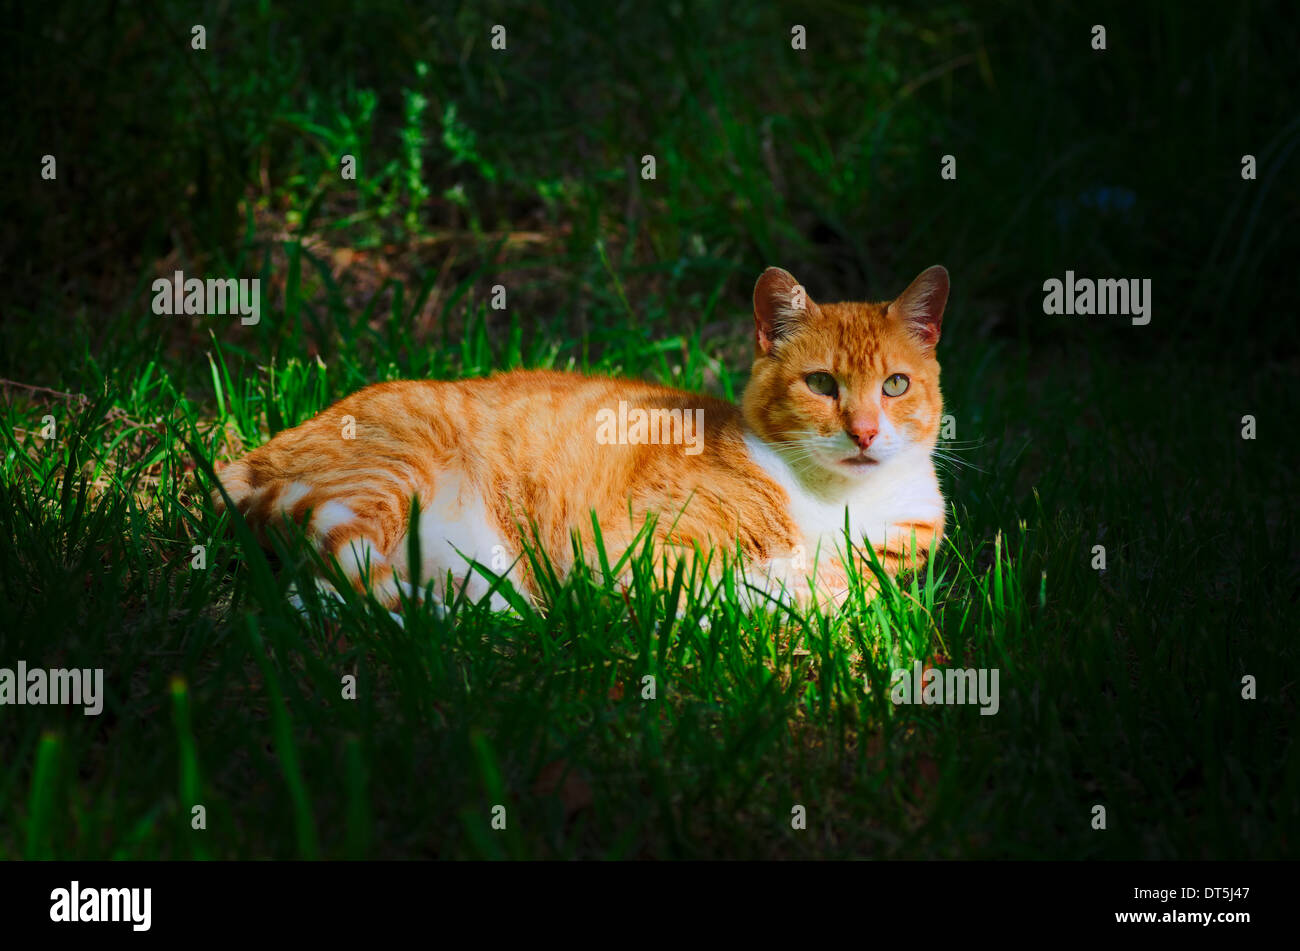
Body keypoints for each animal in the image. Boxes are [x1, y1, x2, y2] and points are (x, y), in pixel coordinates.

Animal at [210, 263, 946, 613]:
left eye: (895, 385)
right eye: (821, 384)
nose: (865, 431)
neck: (832, 501)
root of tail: (255, 453)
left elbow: (844, 590)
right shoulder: (634, 549)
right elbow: (746, 591)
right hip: (390, 477)